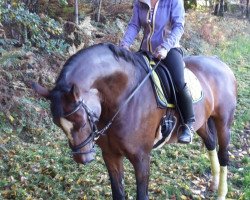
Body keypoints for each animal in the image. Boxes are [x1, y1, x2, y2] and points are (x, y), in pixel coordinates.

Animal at [32, 43, 237, 200]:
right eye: (58, 124)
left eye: (82, 121)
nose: (83, 158)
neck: (123, 98)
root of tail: (220, 63)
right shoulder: (111, 155)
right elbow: (118, 193)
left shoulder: (141, 157)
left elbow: (142, 195)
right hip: (201, 123)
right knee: (211, 144)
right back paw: (213, 184)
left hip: (223, 123)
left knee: (223, 155)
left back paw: (221, 193)